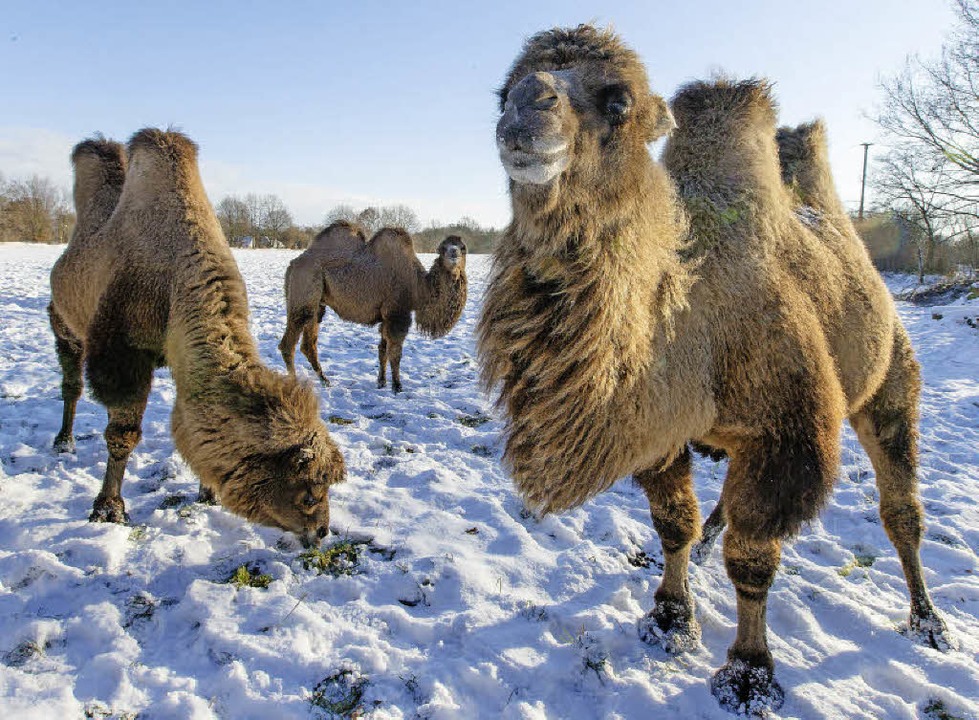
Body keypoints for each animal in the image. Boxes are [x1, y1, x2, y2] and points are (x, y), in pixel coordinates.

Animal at [51, 131, 348, 544]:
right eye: (307, 491)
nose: (321, 531)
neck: (175, 282)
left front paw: (206, 491)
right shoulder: (125, 354)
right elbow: (122, 434)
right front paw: (108, 509)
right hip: (64, 321)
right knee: (72, 383)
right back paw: (64, 440)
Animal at [280, 225, 468, 394]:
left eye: (463, 248)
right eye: (442, 248)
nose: (453, 253)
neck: (418, 286)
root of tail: (292, 265)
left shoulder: (386, 317)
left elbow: (382, 350)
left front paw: (381, 382)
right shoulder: (397, 313)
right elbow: (395, 352)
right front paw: (397, 386)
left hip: (318, 305)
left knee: (308, 344)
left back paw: (325, 380)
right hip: (303, 292)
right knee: (288, 344)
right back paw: (294, 383)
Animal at [478, 23, 952, 716]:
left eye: (618, 101)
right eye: (501, 91)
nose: (524, 109)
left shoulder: (788, 434)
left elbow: (753, 557)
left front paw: (749, 671)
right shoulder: (657, 427)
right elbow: (672, 522)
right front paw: (672, 617)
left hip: (891, 380)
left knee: (901, 511)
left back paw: (928, 620)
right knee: (721, 508)